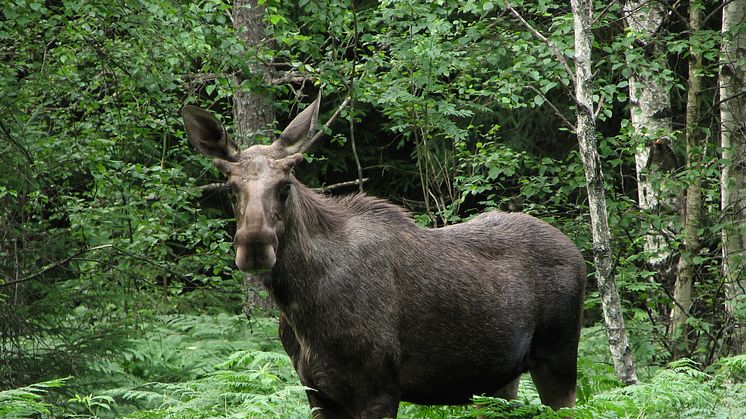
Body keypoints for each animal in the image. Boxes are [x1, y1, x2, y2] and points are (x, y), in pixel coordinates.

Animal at [183, 96, 584, 419]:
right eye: (230, 186)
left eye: (286, 184)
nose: (254, 245)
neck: (299, 307)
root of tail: (578, 253)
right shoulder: (318, 394)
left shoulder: (378, 389)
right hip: (498, 380)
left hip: (559, 360)